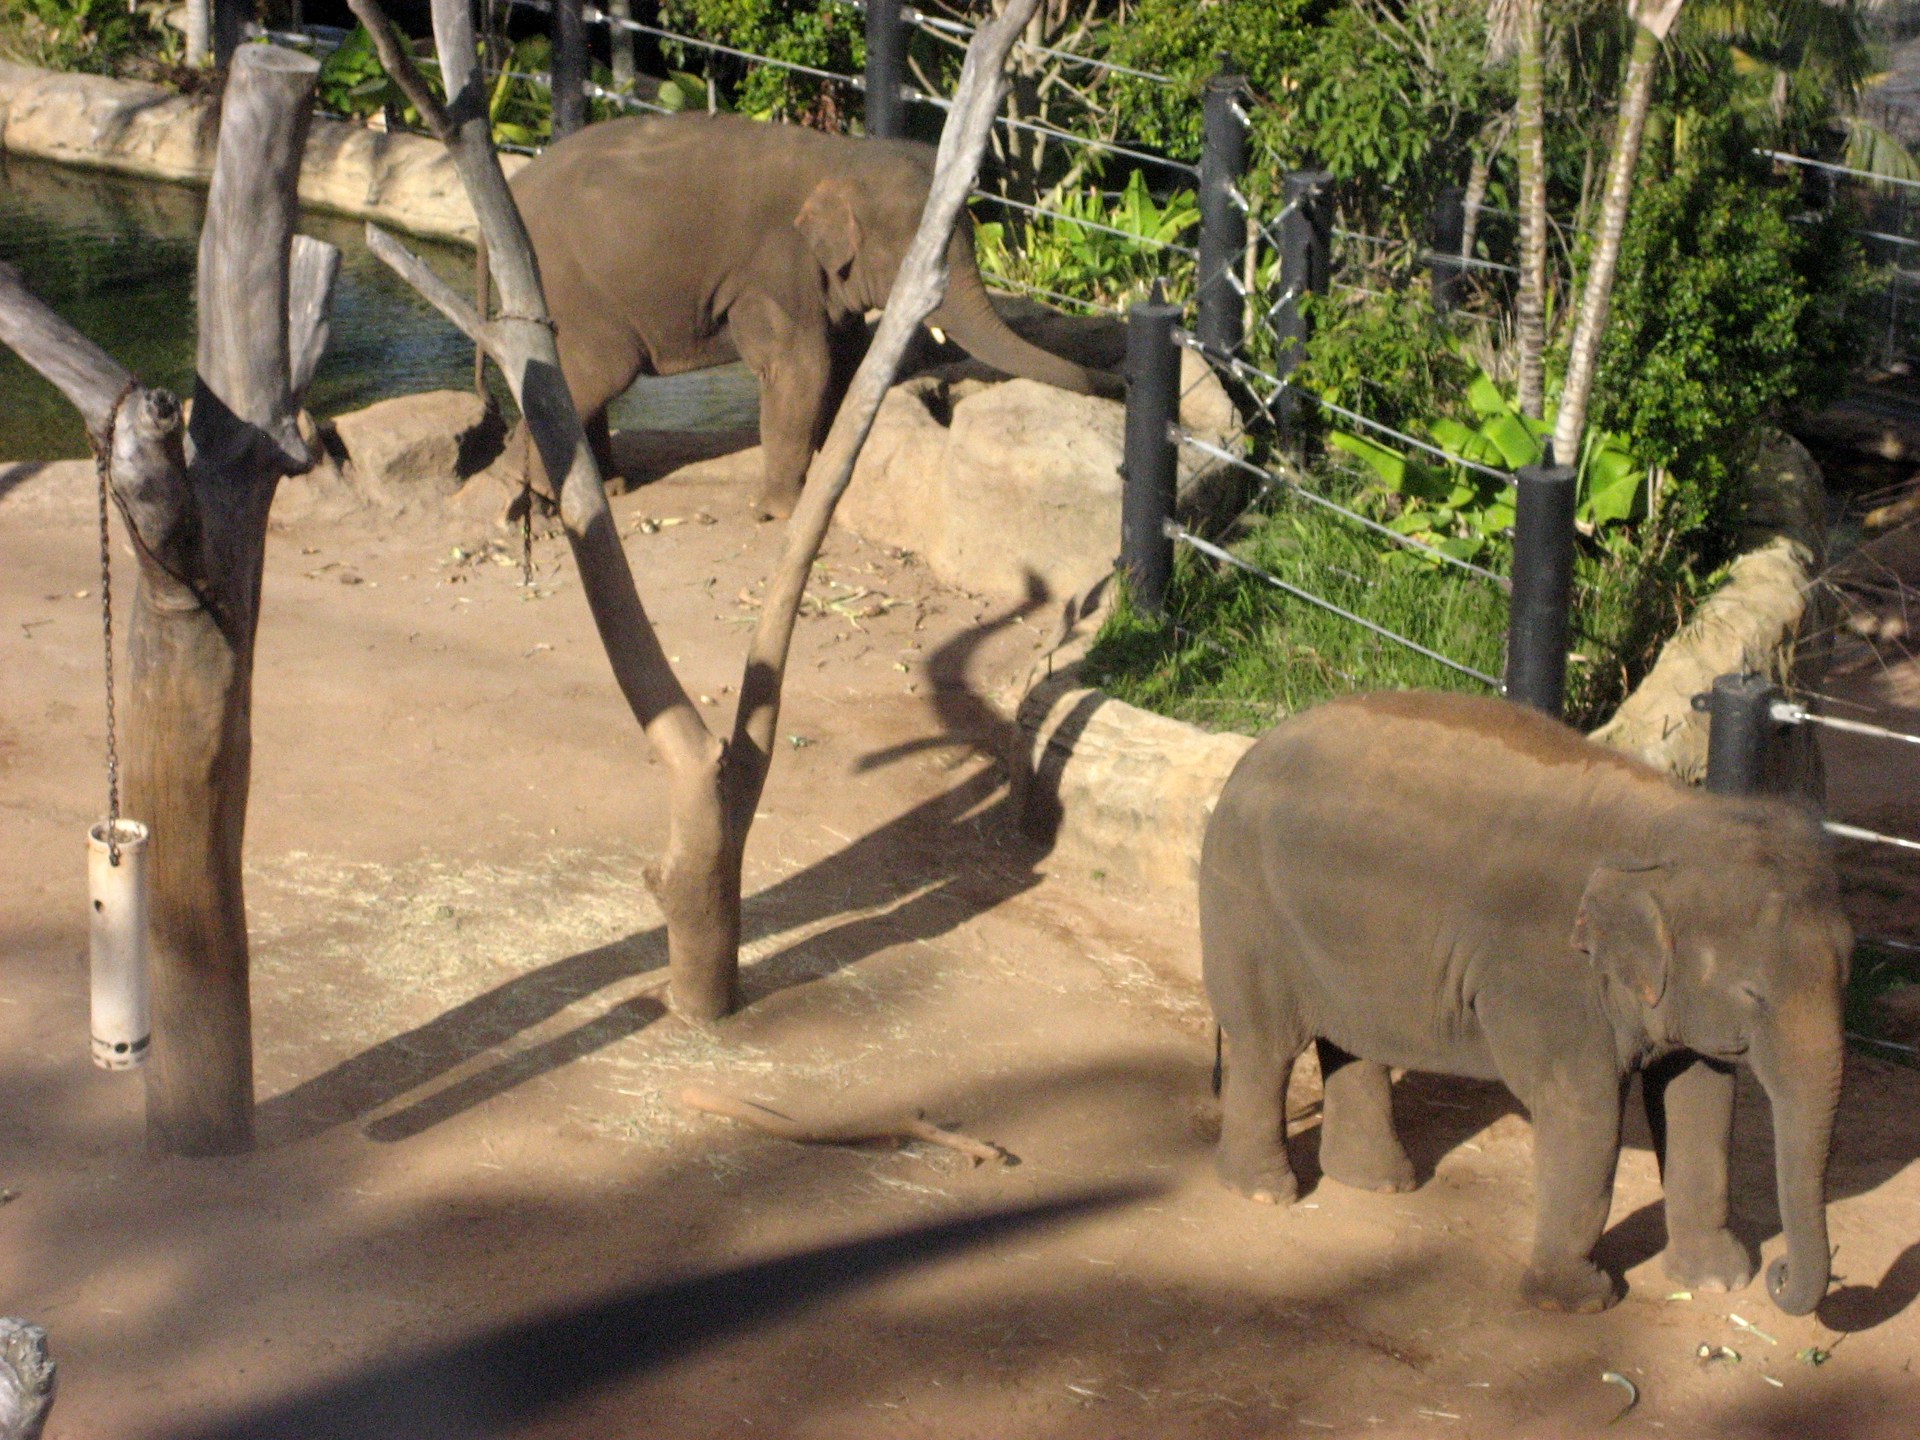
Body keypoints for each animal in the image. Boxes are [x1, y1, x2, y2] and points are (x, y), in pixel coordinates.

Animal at [495, 112, 1124, 517]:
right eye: (921, 258)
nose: (1120, 383)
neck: (842, 153)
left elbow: (844, 360)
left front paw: (823, 473)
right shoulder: (775, 267)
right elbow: (802, 368)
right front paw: (784, 510)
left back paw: (609, 488)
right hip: (570, 289)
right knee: (595, 376)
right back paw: (535, 500)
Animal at [1200, 690, 1852, 1316]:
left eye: (1846, 976)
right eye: (1752, 992)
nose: (1779, 1274)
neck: (1672, 822)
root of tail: (1251, 753)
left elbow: (1702, 1101)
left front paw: (1718, 1281)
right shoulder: (1548, 973)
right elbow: (1584, 1112)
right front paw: (1580, 1303)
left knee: (1354, 1042)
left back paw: (1380, 1184)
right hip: (1246, 904)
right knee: (1267, 1046)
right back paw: (1266, 1191)